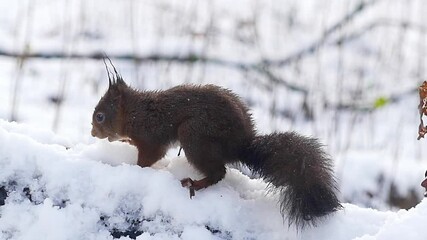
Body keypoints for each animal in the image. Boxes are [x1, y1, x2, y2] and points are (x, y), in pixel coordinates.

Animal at [91, 60, 344, 229]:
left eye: (100, 116)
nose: (92, 133)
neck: (134, 112)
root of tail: (241, 145)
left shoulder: (150, 136)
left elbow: (150, 157)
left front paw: (135, 168)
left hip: (194, 135)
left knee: (218, 172)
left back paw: (196, 183)